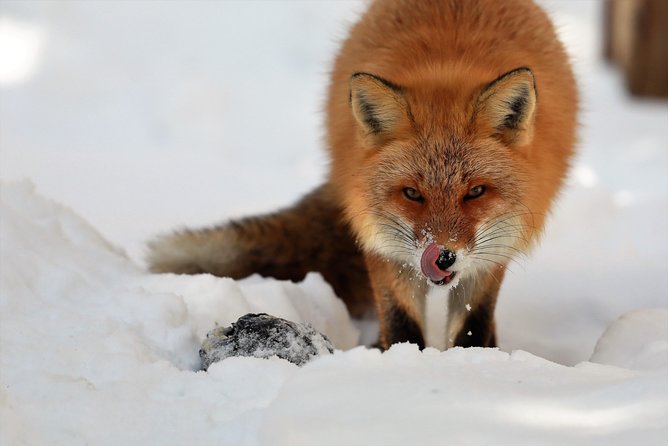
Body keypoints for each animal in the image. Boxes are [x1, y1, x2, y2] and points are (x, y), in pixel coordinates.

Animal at [146, 0, 576, 348]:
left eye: (475, 192)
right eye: (412, 193)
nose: (443, 256)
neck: (447, 67)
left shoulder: (495, 248)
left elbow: (473, 324)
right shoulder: (381, 240)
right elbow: (401, 323)